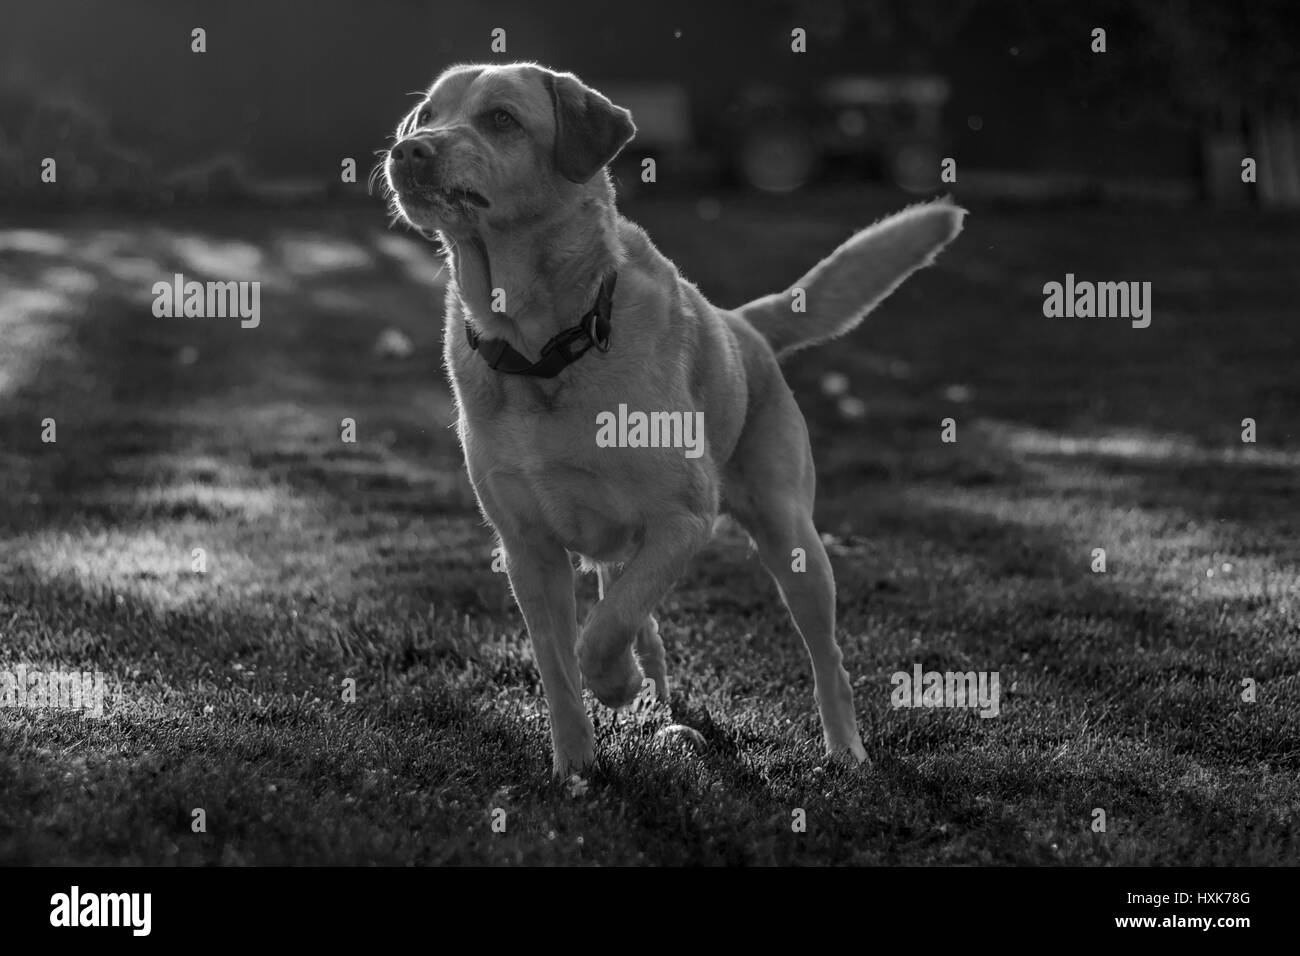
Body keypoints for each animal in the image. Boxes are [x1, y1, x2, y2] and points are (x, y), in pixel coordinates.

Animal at [379, 61, 961, 780]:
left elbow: (601, 635)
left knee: (826, 658)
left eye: (501, 119)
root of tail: (743, 324)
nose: (408, 150)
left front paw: (615, 684)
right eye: (427, 114)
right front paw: (575, 770)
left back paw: (844, 749)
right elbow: (561, 667)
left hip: (793, 541)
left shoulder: (683, 518)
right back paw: (652, 704)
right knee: (637, 617)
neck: (542, 349)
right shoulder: (526, 550)